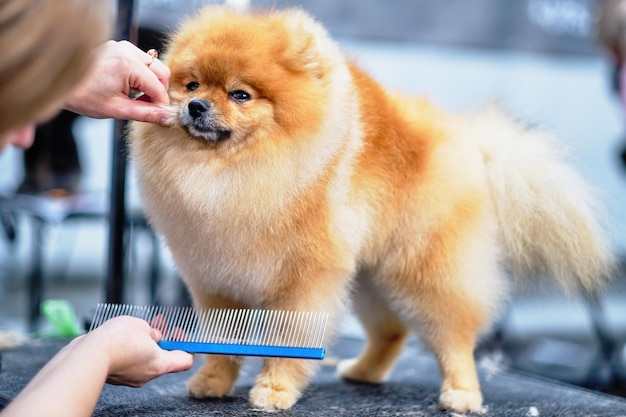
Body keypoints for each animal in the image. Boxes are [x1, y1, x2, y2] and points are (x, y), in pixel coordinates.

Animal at [128, 4, 616, 412]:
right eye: (192, 84)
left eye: (240, 95)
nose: (195, 105)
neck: (231, 173)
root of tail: (470, 145)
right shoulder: (215, 279)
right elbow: (221, 344)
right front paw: (213, 381)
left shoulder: (304, 281)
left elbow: (288, 342)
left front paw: (274, 390)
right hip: (370, 279)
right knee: (392, 331)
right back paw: (363, 372)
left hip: (424, 270)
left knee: (455, 334)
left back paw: (461, 393)